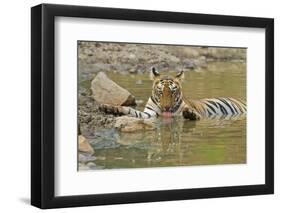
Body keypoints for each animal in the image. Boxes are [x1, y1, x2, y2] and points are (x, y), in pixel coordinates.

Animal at [98, 67, 245, 120]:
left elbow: (193, 114)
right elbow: (131, 111)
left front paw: (190, 113)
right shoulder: (149, 113)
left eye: (173, 92)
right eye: (160, 92)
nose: (167, 108)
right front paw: (111, 108)